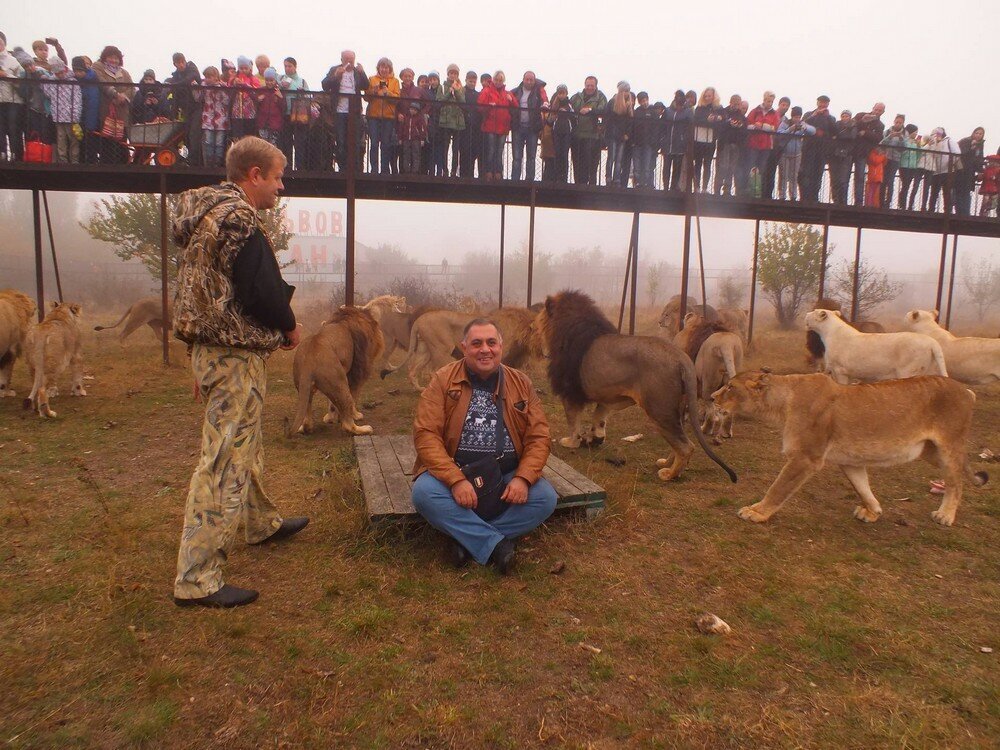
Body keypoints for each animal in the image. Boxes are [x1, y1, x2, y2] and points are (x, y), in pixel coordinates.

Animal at [292, 304, 384, 434]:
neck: (345, 318)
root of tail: (308, 362)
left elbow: (332, 404)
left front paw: (330, 418)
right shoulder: (357, 374)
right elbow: (354, 398)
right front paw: (355, 415)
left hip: (304, 386)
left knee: (307, 419)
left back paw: (304, 428)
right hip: (340, 384)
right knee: (347, 425)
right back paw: (364, 429)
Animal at [532, 290, 736, 484]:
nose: (533, 325)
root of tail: (681, 359)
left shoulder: (570, 392)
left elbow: (573, 421)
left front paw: (571, 442)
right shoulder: (607, 393)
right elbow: (599, 417)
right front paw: (596, 438)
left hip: (659, 409)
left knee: (686, 446)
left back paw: (670, 474)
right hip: (677, 408)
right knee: (680, 441)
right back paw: (666, 463)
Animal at [716, 372, 988, 528]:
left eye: (729, 387)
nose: (711, 397)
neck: (783, 402)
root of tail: (967, 390)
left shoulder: (806, 458)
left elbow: (778, 488)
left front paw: (756, 512)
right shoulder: (850, 461)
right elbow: (862, 487)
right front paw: (873, 512)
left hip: (948, 448)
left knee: (956, 482)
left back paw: (945, 515)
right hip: (930, 451)